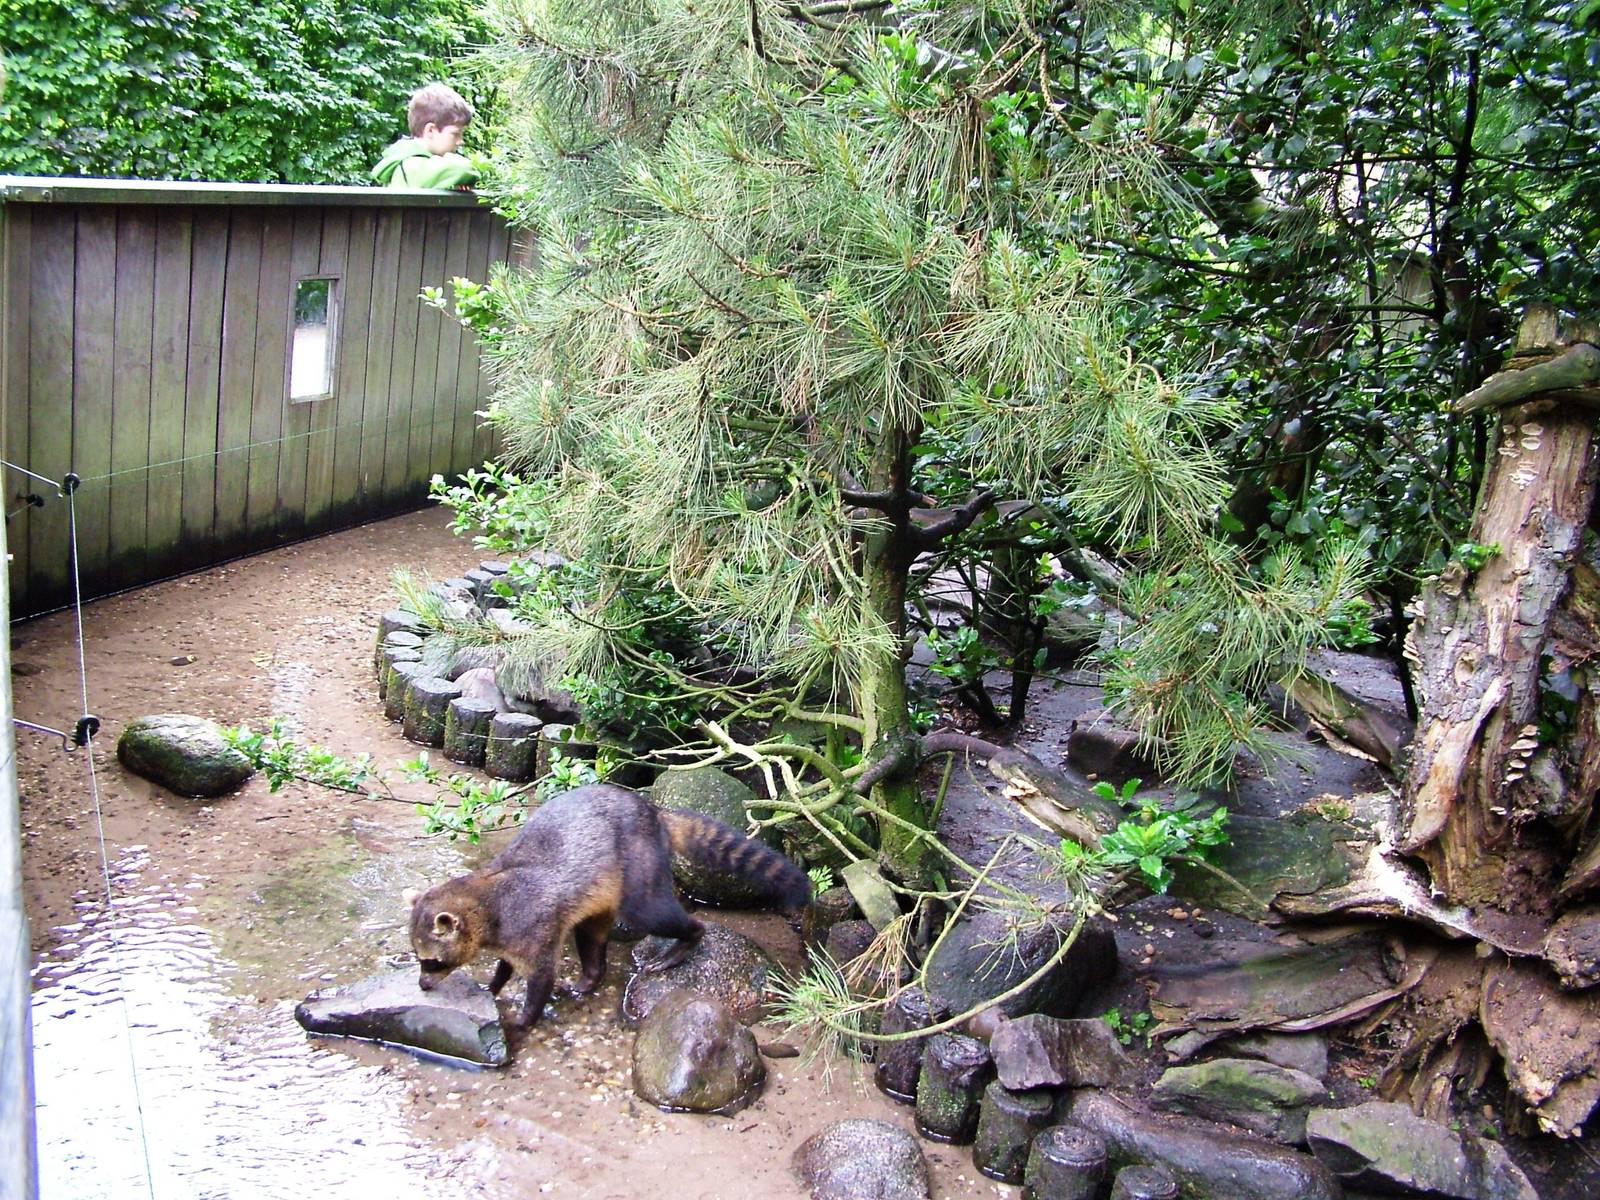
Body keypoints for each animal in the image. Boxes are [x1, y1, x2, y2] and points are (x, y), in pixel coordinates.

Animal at [406, 783, 810, 1026]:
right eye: (419, 958)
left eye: (431, 961)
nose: (422, 985)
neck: (489, 896)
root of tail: (652, 810)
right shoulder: (513, 934)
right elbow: (507, 964)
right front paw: (494, 985)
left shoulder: (533, 926)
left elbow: (541, 977)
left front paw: (523, 1018)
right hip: (598, 897)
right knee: (590, 935)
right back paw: (590, 976)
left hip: (639, 869)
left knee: (655, 913)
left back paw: (688, 938)